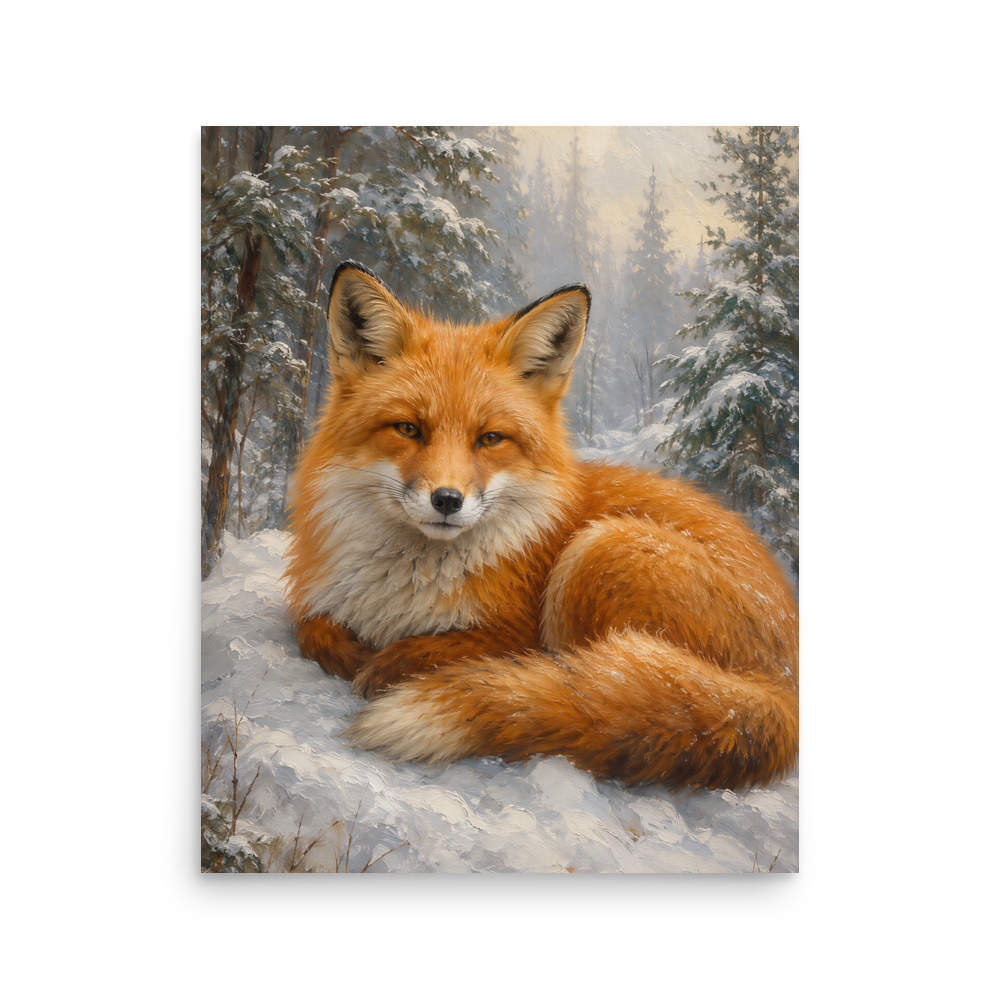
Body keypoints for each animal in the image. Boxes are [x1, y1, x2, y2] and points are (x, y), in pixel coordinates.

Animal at [282, 259, 799, 792]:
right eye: (408, 429)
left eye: (490, 438)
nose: (447, 500)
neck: (402, 589)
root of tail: (783, 683)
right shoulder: (320, 601)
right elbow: (312, 628)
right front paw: (351, 653)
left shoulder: (515, 631)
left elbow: (450, 648)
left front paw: (390, 664)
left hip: (600, 550)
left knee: (589, 684)